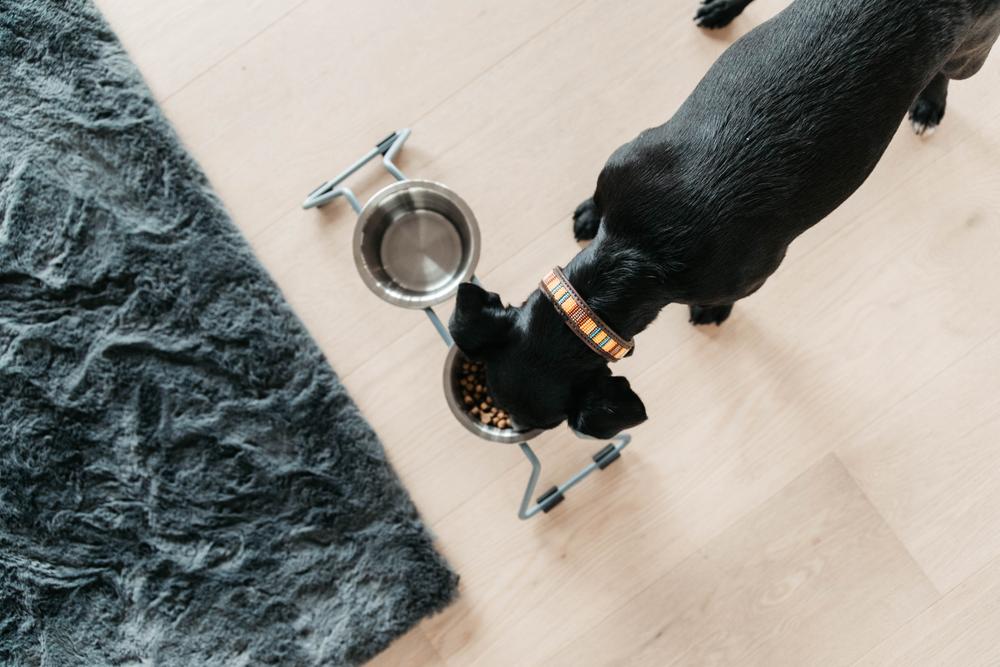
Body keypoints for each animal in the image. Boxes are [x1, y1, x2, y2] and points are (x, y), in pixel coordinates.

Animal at [454, 0, 1000, 440]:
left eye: (540, 426)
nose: (515, 429)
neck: (636, 252)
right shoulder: (628, 157)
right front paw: (590, 214)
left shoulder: (751, 277)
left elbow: (726, 298)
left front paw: (712, 313)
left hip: (969, 51)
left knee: (947, 72)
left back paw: (929, 104)